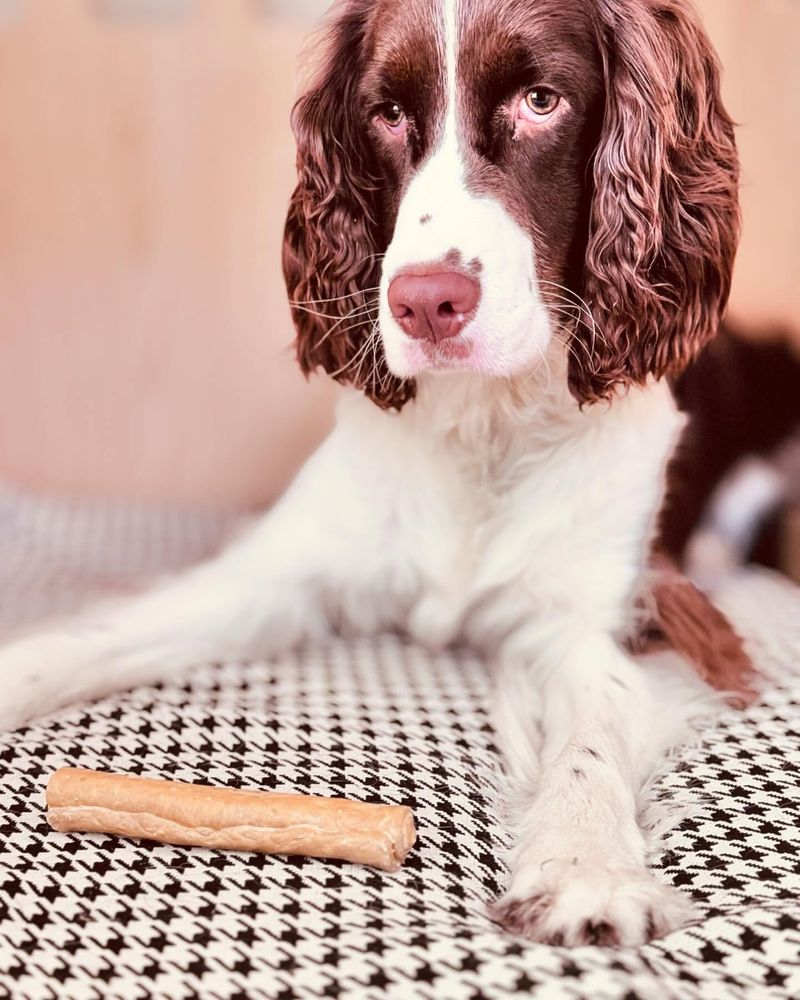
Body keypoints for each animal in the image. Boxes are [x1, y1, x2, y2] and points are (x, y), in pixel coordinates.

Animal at [0, 0, 744, 948]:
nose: (425, 303)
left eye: (542, 100)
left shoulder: (608, 620)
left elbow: (591, 735)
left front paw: (586, 868)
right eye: (386, 115)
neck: (481, 426)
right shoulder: (276, 577)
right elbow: (90, 637)